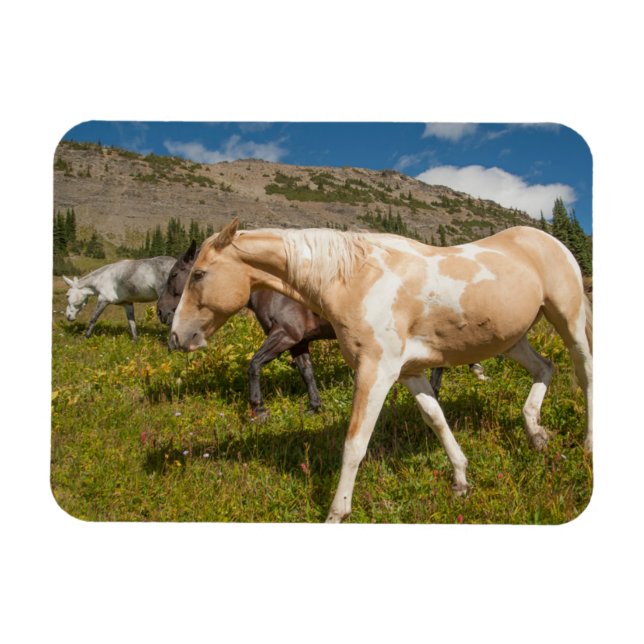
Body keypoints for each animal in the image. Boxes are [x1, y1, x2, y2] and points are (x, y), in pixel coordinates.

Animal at [157, 241, 487, 416]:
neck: (272, 289)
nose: (161, 312)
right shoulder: (298, 341)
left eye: (176, 274)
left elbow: (253, 364)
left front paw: (258, 407)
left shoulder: (284, 334)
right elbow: (307, 372)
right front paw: (314, 406)